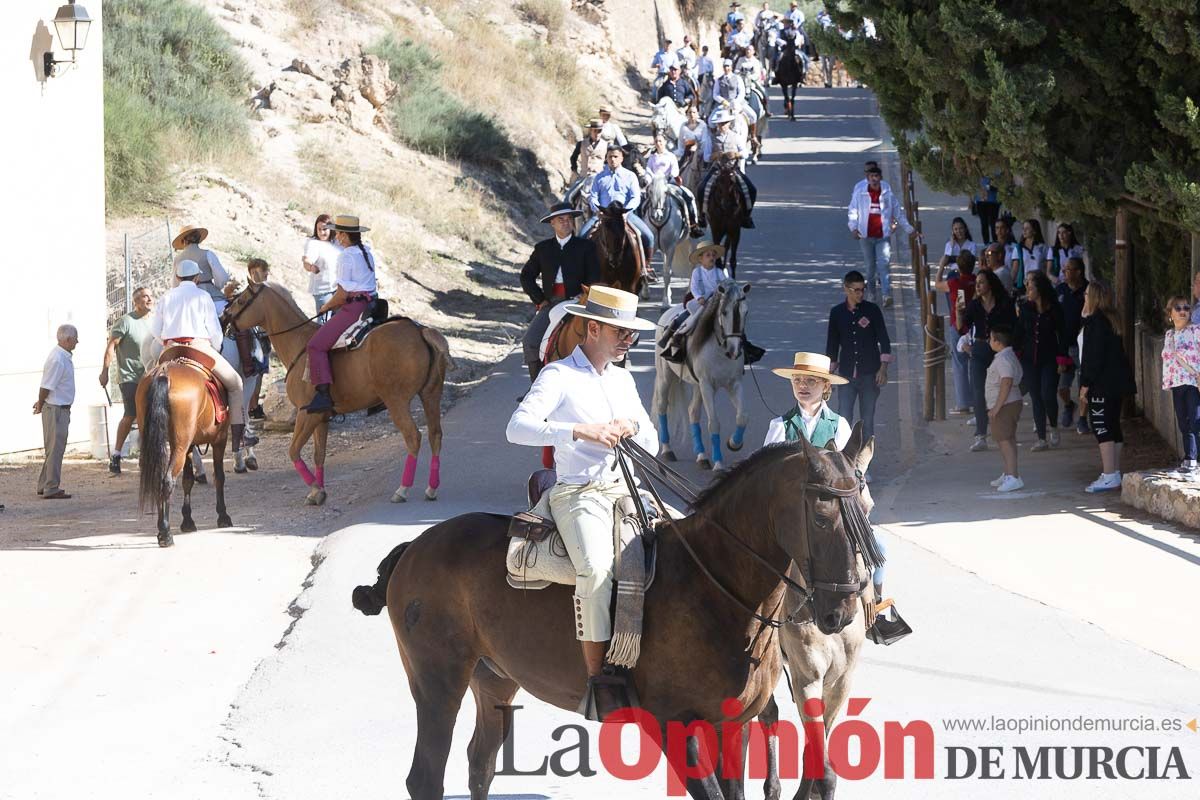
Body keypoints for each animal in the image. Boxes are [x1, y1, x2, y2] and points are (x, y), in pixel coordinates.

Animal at [136, 359, 231, 546]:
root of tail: (163, 372)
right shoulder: (220, 440)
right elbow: (219, 477)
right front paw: (223, 516)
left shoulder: (189, 447)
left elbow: (188, 480)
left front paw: (187, 521)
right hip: (179, 446)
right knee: (167, 481)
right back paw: (165, 533)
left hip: (164, 445)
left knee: (158, 479)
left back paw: (162, 529)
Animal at [223, 281, 451, 503]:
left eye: (241, 300)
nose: (224, 317)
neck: (299, 341)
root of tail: (419, 331)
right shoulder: (321, 417)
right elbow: (319, 454)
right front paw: (318, 491)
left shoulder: (306, 414)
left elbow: (294, 450)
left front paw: (316, 489)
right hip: (430, 395)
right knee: (435, 435)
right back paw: (431, 488)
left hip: (397, 402)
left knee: (413, 437)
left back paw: (402, 490)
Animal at [350, 424, 878, 800]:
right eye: (822, 515)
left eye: (866, 509)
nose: (842, 608)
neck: (716, 590)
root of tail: (416, 546)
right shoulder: (675, 726)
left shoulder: (735, 724)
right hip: (437, 682)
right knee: (425, 778)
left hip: (494, 680)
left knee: (480, 764)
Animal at [657, 280, 748, 470]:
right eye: (724, 312)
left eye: (746, 312)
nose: (734, 351)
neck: (720, 349)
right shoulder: (707, 385)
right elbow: (714, 423)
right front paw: (719, 464)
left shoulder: (734, 384)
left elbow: (742, 416)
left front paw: (734, 443)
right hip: (666, 377)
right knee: (662, 407)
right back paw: (667, 450)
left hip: (697, 385)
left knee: (692, 412)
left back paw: (702, 456)